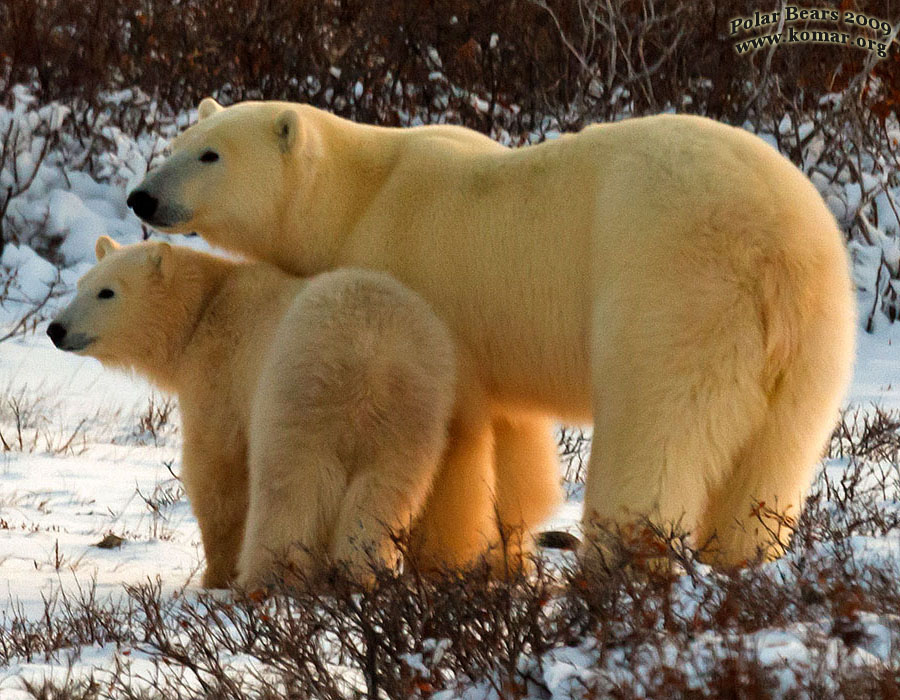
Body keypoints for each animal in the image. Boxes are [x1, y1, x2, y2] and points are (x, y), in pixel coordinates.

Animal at [125, 98, 852, 568]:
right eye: (174, 145)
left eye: (210, 154)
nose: (142, 197)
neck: (357, 196)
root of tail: (775, 248)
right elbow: (514, 440)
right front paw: (509, 552)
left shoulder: (422, 289)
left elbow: (448, 438)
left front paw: (440, 559)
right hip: (817, 329)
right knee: (776, 454)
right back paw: (739, 560)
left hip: (673, 288)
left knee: (657, 431)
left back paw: (619, 565)